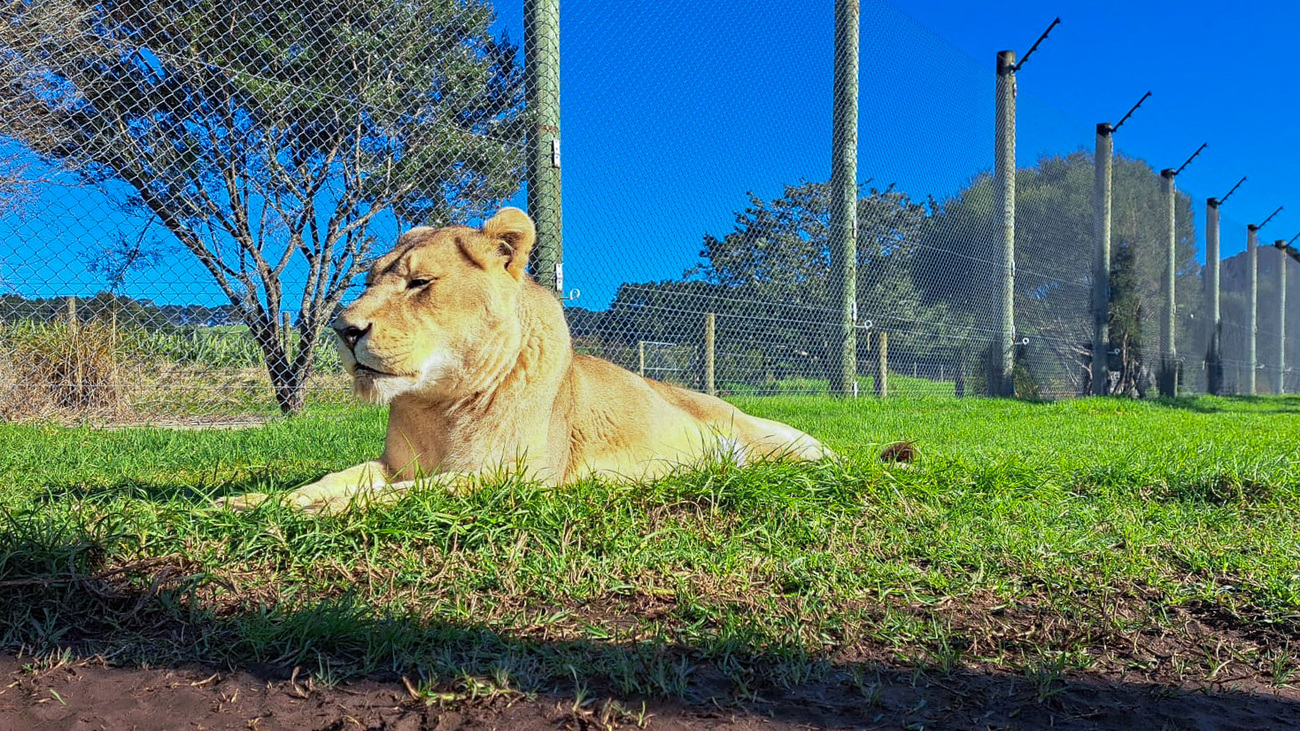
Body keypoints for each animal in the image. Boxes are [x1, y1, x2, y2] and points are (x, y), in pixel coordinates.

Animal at [222, 208, 831, 513]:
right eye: (369, 281)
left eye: (420, 283)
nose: (344, 330)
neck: (440, 404)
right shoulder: (396, 464)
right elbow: (335, 478)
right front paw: (253, 500)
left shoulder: (509, 477)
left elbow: (396, 495)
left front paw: (304, 512)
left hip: (768, 433)